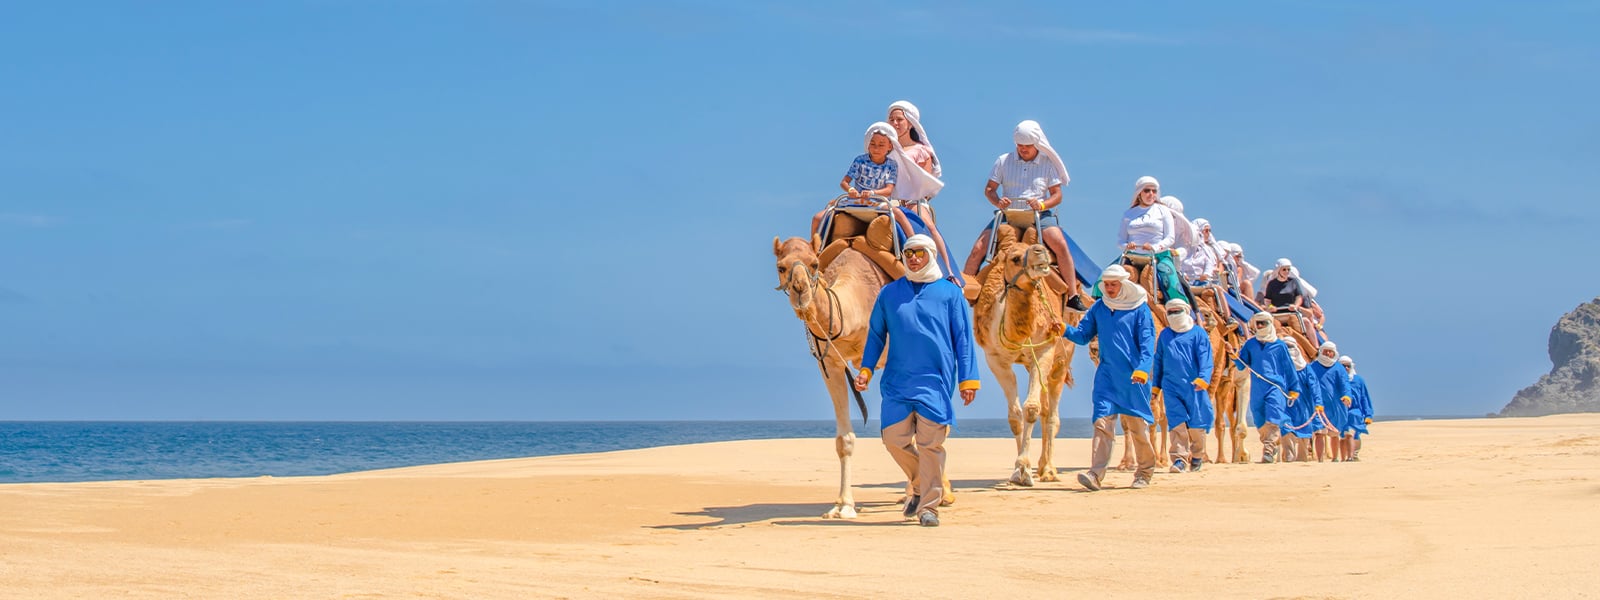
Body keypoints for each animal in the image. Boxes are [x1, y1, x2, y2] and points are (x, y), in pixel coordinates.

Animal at [966, 225, 1081, 489]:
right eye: (1015, 259)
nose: (1041, 252)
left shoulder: (1044, 349)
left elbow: (1031, 408)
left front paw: (1024, 468)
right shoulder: (995, 359)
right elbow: (1015, 415)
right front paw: (1020, 470)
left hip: (1062, 358)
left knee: (1052, 412)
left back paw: (1048, 470)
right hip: (1030, 364)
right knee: (1046, 408)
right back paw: (1042, 467)